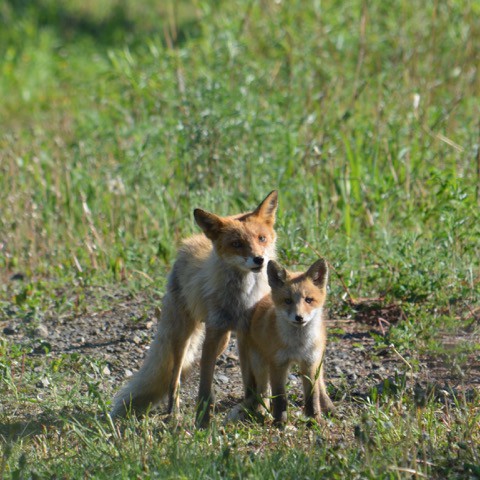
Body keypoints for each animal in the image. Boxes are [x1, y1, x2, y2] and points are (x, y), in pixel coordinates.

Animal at [111, 189, 278, 426]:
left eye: (261, 238)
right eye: (237, 244)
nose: (259, 259)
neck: (241, 298)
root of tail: (190, 241)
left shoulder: (245, 335)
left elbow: (250, 382)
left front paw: (254, 410)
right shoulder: (213, 334)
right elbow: (204, 387)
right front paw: (203, 422)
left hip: (225, 339)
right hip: (183, 334)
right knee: (175, 376)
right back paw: (173, 412)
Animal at [231, 258, 336, 424]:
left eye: (309, 300)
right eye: (288, 301)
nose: (299, 317)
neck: (298, 345)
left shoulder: (309, 363)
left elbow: (312, 395)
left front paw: (314, 419)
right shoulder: (278, 364)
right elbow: (280, 397)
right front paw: (280, 422)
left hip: (317, 361)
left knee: (321, 386)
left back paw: (329, 407)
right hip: (259, 364)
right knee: (262, 392)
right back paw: (262, 412)